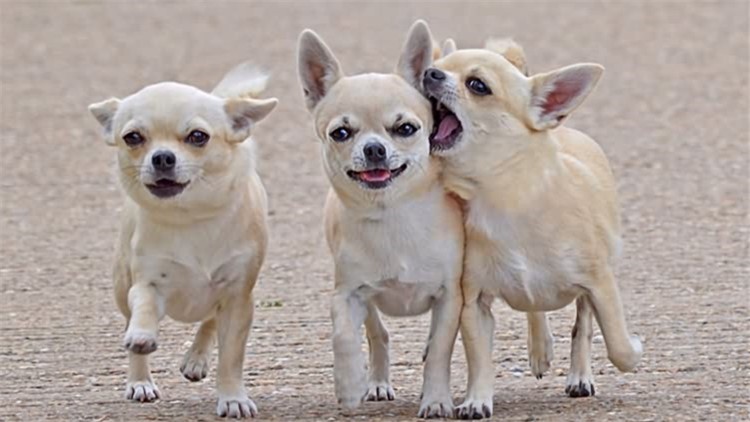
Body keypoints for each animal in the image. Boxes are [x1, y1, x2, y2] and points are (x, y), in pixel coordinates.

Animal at [88, 62, 276, 418]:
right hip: (121, 286)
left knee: (210, 320)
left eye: (197, 136)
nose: (162, 157)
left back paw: (196, 359)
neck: (190, 217)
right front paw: (142, 337)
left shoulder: (237, 297)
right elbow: (145, 306)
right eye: (133, 137)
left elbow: (230, 357)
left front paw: (232, 397)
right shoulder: (147, 282)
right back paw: (140, 381)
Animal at [298, 20, 464, 418]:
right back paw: (375, 382)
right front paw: (349, 385)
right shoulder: (346, 295)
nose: (374, 148)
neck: (393, 215)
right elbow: (343, 336)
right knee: (377, 334)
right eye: (341, 133)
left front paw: (436, 399)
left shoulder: (450, 296)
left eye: (405, 128)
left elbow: (440, 351)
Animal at [424, 38, 648, 418]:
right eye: (439, 65)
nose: (429, 72)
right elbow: (479, 359)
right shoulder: (474, 303)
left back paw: (579, 376)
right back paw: (540, 347)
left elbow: (616, 344)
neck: (504, 198)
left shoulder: (600, 284)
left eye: (477, 85)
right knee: (536, 307)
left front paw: (632, 350)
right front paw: (476, 400)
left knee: (583, 324)